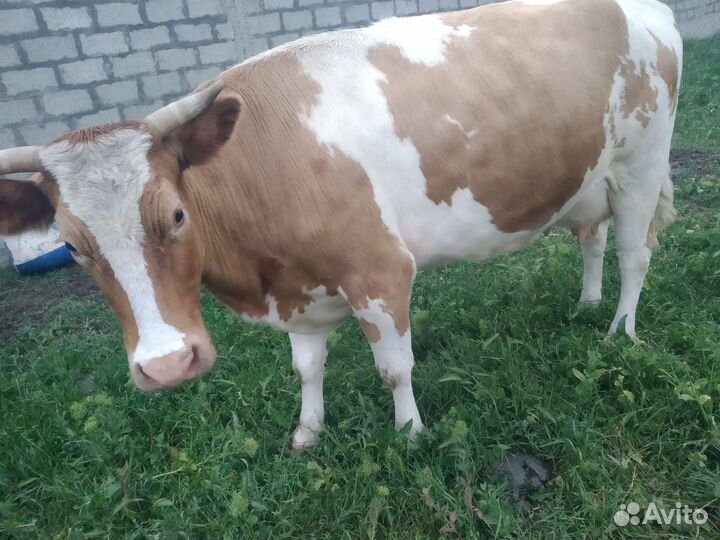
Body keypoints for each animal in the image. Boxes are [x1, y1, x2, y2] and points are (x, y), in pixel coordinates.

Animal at [0, 0, 681, 449]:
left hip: (643, 165)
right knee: (590, 235)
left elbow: (395, 368)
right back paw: (587, 304)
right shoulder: (297, 291)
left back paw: (618, 330)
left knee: (634, 254)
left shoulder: (381, 271)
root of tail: (638, 7)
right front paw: (308, 432)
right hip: (586, 178)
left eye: (176, 214)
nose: (167, 366)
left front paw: (411, 433)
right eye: (72, 245)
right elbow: (306, 367)